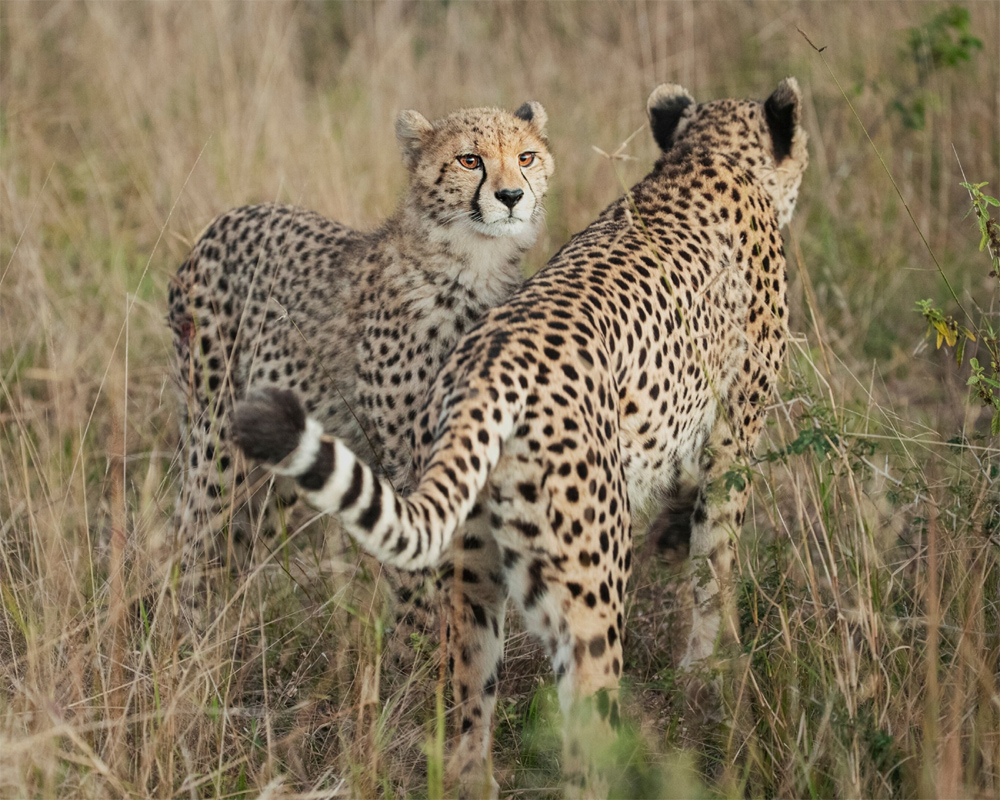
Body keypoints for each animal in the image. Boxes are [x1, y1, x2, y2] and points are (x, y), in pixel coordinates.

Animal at [165, 101, 556, 608]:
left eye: (526, 157)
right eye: (470, 160)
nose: (511, 196)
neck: (475, 264)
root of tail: (225, 219)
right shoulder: (405, 465)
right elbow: (416, 571)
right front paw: (420, 630)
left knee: (237, 540)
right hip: (215, 436)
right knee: (190, 533)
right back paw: (186, 622)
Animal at [236, 81, 812, 792]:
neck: (706, 158)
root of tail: (487, 366)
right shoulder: (734, 433)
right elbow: (716, 560)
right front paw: (711, 670)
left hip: (471, 580)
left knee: (466, 724)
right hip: (587, 586)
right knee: (585, 737)